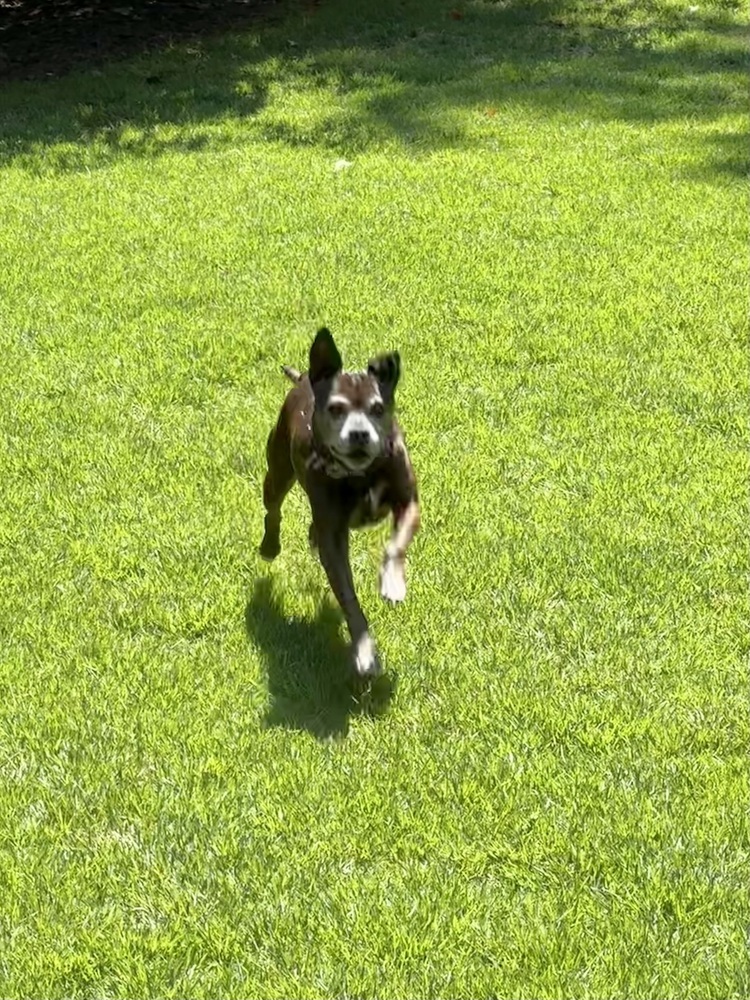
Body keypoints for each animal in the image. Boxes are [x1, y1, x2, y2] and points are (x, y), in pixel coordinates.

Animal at [259, 326, 420, 678]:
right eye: (335, 409)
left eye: (377, 409)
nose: (359, 434)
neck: (361, 475)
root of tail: (304, 379)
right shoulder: (334, 539)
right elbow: (348, 598)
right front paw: (365, 652)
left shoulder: (409, 503)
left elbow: (395, 545)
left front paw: (392, 582)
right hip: (276, 473)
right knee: (273, 510)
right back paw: (269, 546)